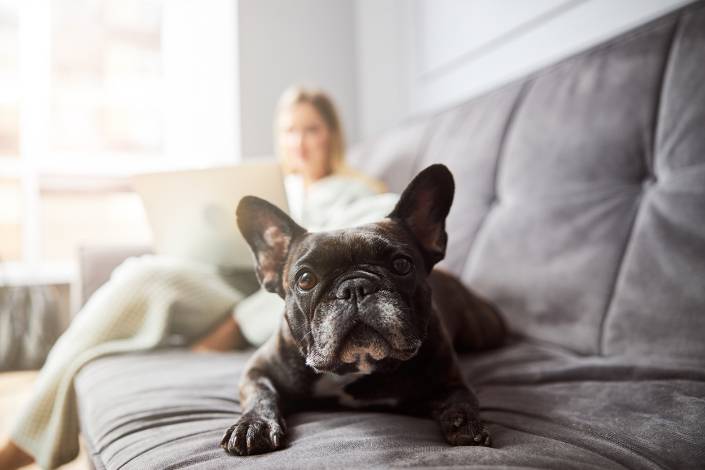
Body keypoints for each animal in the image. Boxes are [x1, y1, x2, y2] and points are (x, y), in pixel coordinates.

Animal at [223, 162, 504, 456]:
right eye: (305, 279)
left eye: (402, 265)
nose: (355, 287)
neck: (354, 368)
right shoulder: (258, 369)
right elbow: (261, 394)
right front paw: (254, 425)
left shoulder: (448, 380)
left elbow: (462, 398)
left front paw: (466, 424)